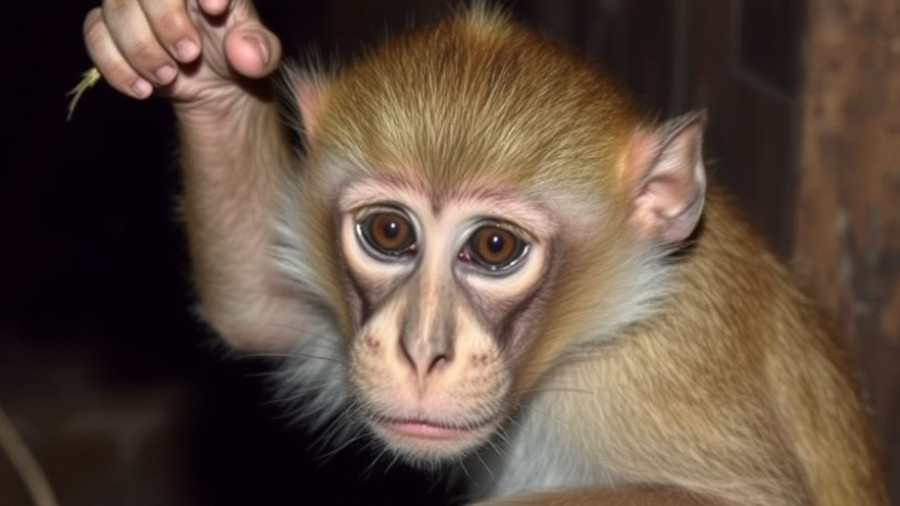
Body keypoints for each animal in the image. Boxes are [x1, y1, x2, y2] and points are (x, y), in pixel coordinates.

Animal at [82, 1, 888, 504]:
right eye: (389, 233)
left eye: (494, 246)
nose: (419, 352)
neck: (592, 332)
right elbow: (257, 306)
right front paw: (191, 54)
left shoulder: (660, 363)